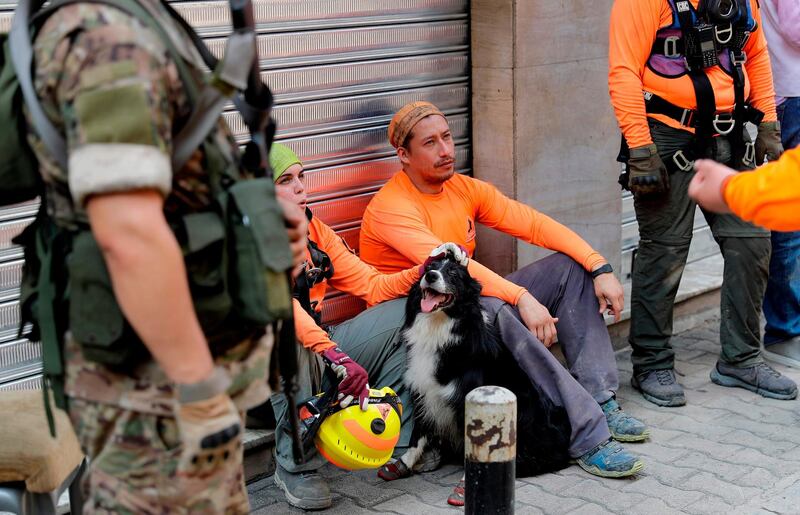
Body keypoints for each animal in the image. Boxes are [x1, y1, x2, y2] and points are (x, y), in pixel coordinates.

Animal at [390, 253, 572, 480]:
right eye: (429, 268)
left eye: (453, 273)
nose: (431, 276)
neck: (439, 327)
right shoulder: (423, 390)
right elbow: (418, 432)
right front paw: (404, 463)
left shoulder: (467, 398)